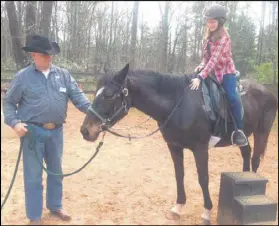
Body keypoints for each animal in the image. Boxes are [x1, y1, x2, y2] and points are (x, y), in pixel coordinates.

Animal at [80, 63, 278, 222]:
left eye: (109, 95)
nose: (86, 130)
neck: (177, 104)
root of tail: (268, 92)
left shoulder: (200, 149)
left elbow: (203, 178)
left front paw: (206, 212)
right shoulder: (174, 146)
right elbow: (179, 175)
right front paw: (178, 207)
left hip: (262, 133)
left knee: (255, 159)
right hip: (243, 135)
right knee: (246, 153)